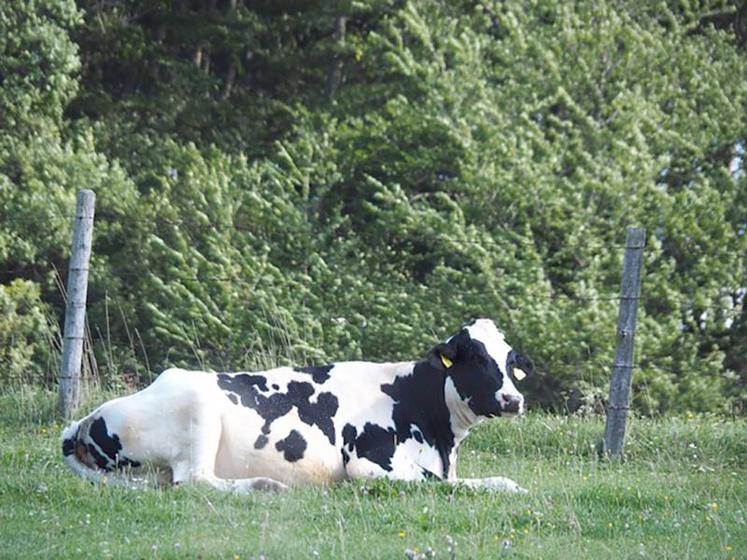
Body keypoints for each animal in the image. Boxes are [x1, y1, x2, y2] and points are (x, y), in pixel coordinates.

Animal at [61, 320, 536, 494]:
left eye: (510, 362)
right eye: (476, 358)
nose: (513, 399)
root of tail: (83, 421)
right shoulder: (369, 463)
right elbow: (450, 484)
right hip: (198, 413)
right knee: (193, 481)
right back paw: (265, 486)